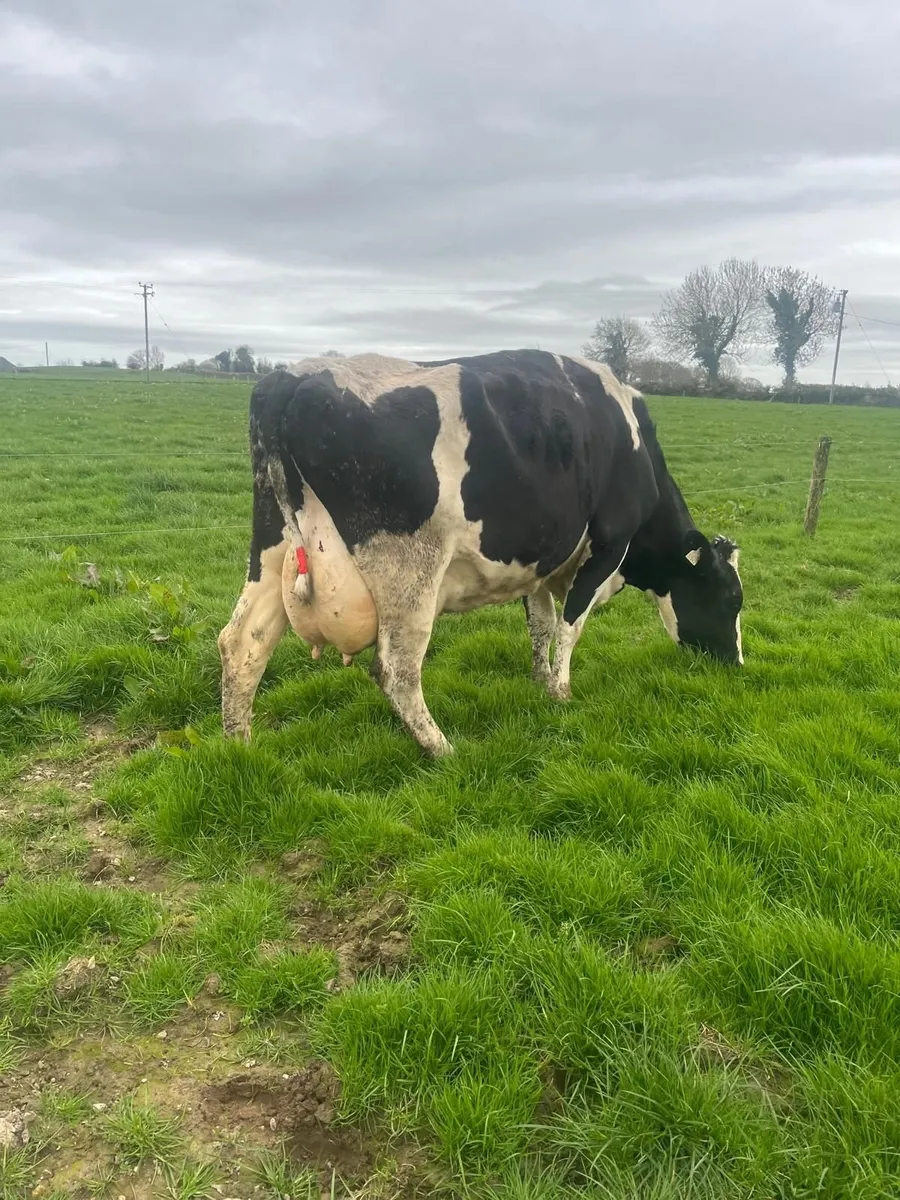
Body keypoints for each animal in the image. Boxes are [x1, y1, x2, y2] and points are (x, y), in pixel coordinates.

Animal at [218, 349, 743, 757]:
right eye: (731, 599)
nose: (737, 664)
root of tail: (293, 377)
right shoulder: (607, 547)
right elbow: (571, 625)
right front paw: (561, 691)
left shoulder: (539, 563)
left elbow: (541, 624)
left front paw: (539, 681)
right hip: (410, 572)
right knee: (396, 669)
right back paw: (442, 749)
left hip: (271, 548)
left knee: (242, 641)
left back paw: (240, 746)